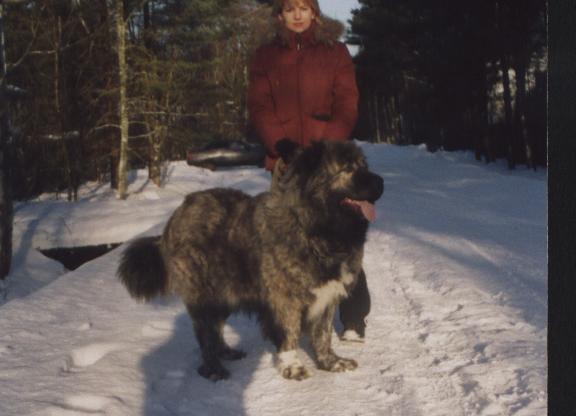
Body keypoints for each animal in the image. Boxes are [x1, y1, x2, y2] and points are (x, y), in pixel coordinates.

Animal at [116, 141, 382, 382]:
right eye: (347, 168)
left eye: (363, 165)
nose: (381, 183)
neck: (313, 228)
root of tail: (174, 218)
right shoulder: (285, 300)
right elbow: (289, 334)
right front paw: (293, 367)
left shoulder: (327, 297)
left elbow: (323, 335)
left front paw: (331, 362)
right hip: (204, 296)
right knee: (205, 335)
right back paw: (214, 368)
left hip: (224, 294)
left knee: (215, 330)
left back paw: (226, 352)